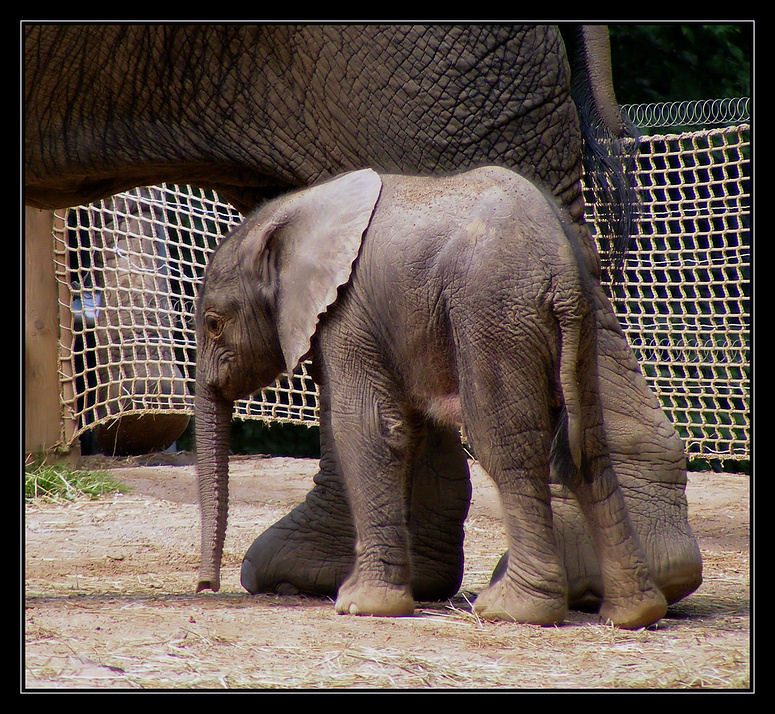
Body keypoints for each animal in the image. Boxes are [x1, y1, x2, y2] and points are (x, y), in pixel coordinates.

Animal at [194, 164, 668, 624]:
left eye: (215, 324)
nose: (205, 588)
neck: (296, 211)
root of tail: (561, 272)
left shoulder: (349, 311)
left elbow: (366, 427)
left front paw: (361, 606)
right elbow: (403, 430)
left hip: (493, 313)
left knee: (506, 446)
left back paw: (513, 610)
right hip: (582, 320)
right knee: (588, 448)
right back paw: (634, 613)